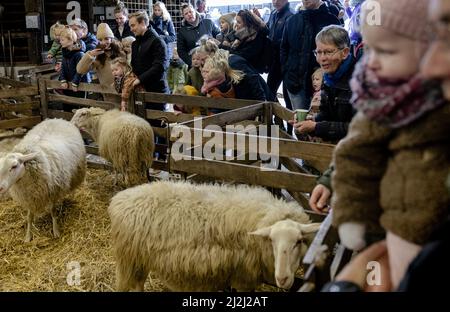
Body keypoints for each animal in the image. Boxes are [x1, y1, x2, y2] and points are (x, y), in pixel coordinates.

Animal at [108, 182, 320, 292]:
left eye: (299, 241)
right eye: (272, 242)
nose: (282, 279)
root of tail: (119, 198)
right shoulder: (243, 277)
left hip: (139, 260)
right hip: (129, 260)